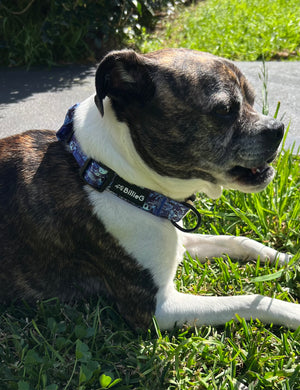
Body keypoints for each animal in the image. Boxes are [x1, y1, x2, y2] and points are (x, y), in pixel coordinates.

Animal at [0, 48, 300, 330]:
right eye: (224, 110)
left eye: (252, 100)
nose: (278, 128)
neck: (115, 177)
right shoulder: (158, 309)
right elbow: (249, 301)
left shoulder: (179, 243)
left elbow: (238, 241)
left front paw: (289, 258)